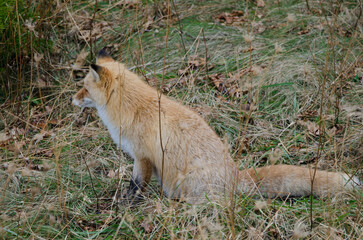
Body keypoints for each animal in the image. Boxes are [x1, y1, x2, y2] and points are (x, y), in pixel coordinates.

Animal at [72, 49, 362, 203]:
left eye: (84, 88)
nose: (71, 99)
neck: (132, 107)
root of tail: (235, 177)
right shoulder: (144, 160)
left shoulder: (142, 158)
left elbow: (135, 187)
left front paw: (125, 204)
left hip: (188, 184)